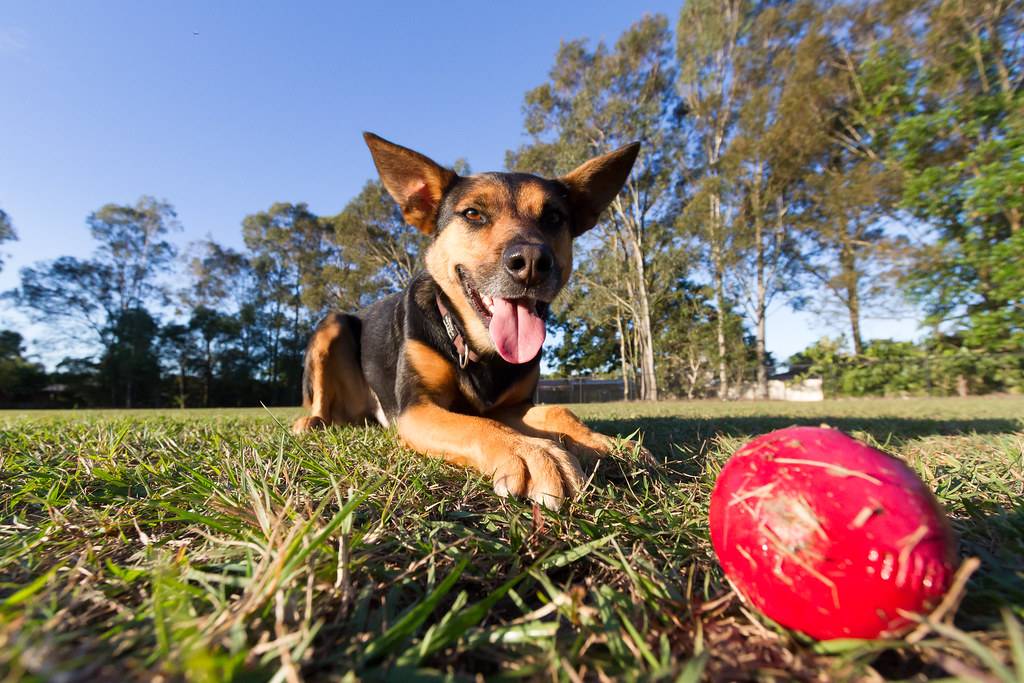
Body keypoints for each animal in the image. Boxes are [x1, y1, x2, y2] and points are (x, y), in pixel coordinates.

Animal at [290, 133, 647, 507]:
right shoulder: (417, 408)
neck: (478, 348)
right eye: (473, 213)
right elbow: (476, 425)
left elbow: (557, 411)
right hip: (332, 326)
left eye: (553, 217)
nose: (532, 262)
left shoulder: (514, 405)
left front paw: (602, 442)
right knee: (320, 401)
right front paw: (533, 452)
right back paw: (310, 422)